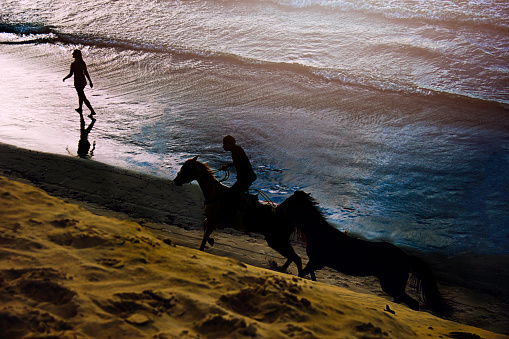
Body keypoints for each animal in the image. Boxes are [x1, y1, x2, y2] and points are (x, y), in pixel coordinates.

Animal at [174, 158, 302, 274]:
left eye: (186, 168)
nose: (176, 180)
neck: (215, 193)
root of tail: (288, 215)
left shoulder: (213, 220)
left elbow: (205, 235)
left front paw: (203, 247)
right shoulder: (213, 220)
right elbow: (204, 226)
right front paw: (211, 241)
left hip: (277, 241)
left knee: (296, 258)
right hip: (279, 241)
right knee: (293, 257)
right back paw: (282, 269)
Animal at [276, 191, 450, 316]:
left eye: (289, 201)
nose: (276, 208)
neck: (319, 233)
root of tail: (406, 257)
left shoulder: (315, 262)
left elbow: (303, 274)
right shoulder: (315, 263)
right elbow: (310, 277)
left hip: (391, 284)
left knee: (412, 303)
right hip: (393, 286)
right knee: (402, 300)